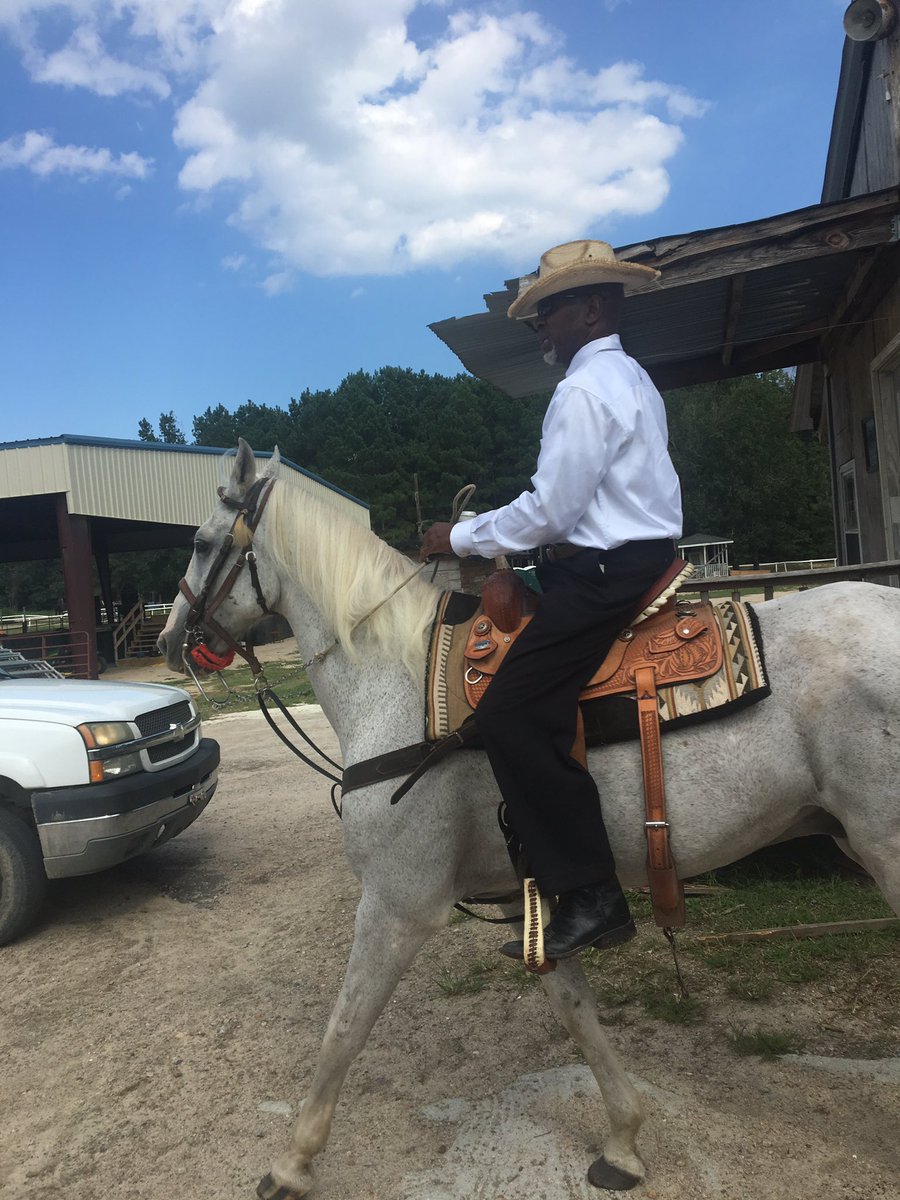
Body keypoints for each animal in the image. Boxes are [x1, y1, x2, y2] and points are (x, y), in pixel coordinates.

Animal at [159, 441, 900, 1199]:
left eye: (200, 542)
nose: (172, 638)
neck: (398, 680)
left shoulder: (398, 903)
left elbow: (344, 1028)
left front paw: (293, 1163)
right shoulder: (531, 901)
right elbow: (577, 1014)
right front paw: (624, 1141)